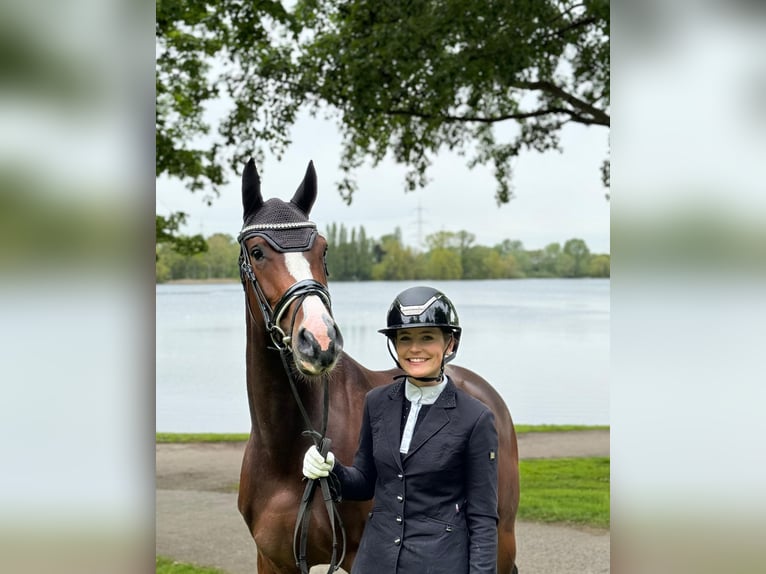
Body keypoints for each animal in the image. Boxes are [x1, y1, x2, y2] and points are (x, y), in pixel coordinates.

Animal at [236, 159, 520, 574]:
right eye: (257, 252)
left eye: (322, 249)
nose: (319, 341)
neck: (282, 454)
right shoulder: (272, 560)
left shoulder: (357, 556)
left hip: (501, 542)